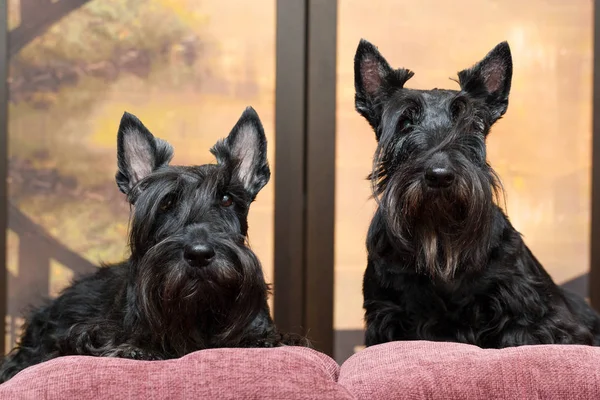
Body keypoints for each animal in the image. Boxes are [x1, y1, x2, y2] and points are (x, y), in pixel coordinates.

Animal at [0, 108, 308, 382]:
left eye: (226, 199)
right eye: (166, 203)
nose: (199, 255)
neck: (199, 308)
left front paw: (260, 339)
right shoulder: (80, 334)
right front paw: (136, 349)